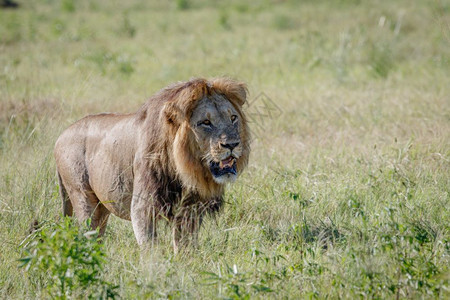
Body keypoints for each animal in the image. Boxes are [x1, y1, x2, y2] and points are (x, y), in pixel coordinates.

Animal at [54, 77, 250, 251]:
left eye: (233, 118)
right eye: (206, 122)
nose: (232, 144)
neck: (183, 169)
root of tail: (61, 135)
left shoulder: (190, 210)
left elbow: (186, 247)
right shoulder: (143, 207)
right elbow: (151, 248)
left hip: (102, 207)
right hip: (82, 197)